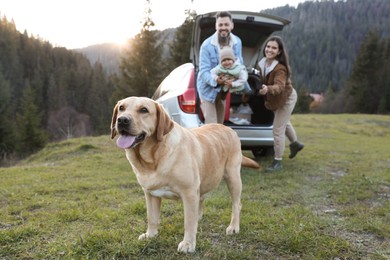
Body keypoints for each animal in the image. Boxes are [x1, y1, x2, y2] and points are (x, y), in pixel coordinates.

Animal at [111, 96, 260, 253]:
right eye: (121, 108)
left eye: (144, 110)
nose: (122, 120)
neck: (154, 158)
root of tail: (227, 127)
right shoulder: (150, 194)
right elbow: (151, 217)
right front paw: (150, 235)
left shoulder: (188, 192)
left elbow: (188, 222)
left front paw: (188, 243)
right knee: (202, 199)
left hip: (233, 177)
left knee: (236, 204)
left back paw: (233, 227)